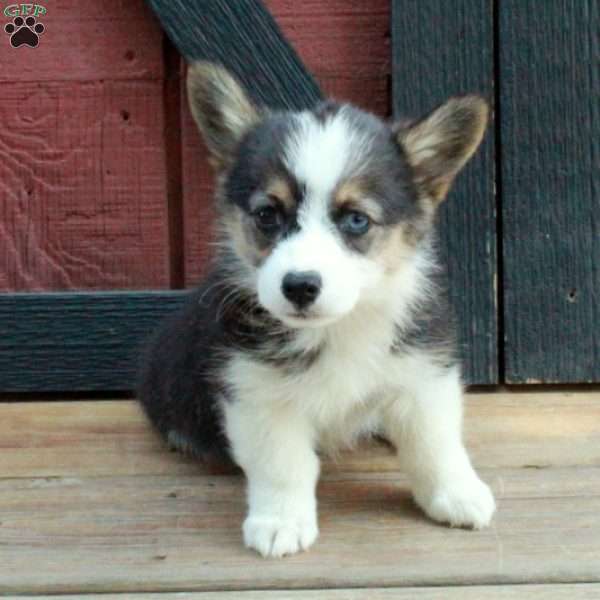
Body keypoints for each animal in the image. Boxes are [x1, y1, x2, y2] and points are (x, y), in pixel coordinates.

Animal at [138, 61, 494, 556]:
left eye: (357, 220)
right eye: (267, 214)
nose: (300, 286)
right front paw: (280, 522)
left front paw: (457, 494)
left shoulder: (425, 373)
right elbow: (284, 464)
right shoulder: (257, 392)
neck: (340, 326)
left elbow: (435, 444)